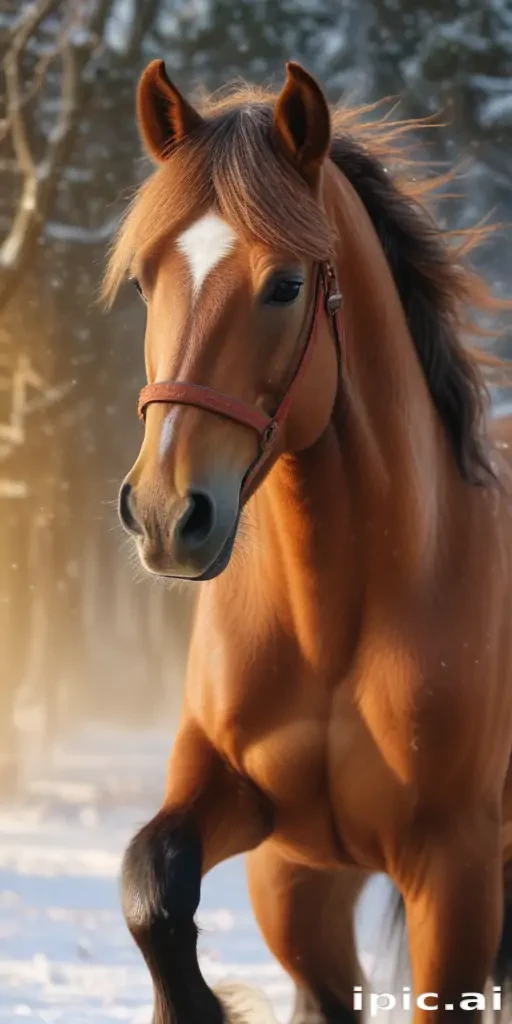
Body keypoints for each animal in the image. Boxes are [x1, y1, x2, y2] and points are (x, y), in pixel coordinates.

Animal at [104, 59, 512, 1024]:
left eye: (286, 285)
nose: (167, 514)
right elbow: (152, 883)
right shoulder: (268, 843)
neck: (336, 621)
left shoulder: (458, 872)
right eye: (143, 282)